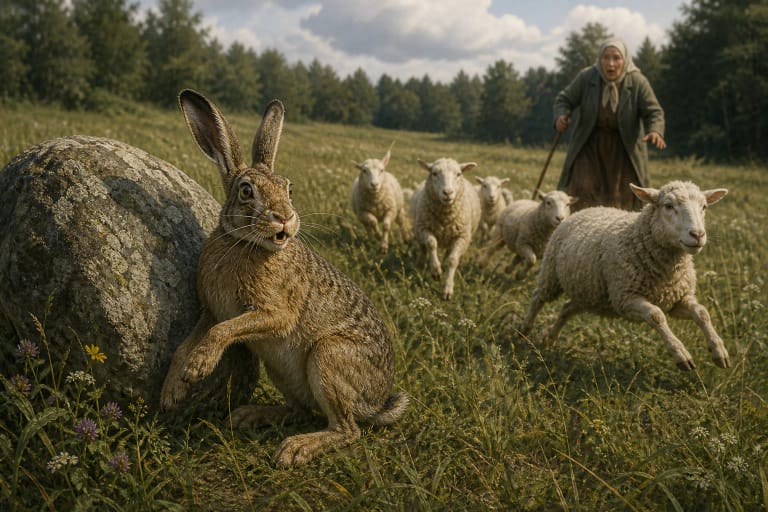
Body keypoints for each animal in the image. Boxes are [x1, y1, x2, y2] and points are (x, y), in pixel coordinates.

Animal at [160, 89, 408, 467]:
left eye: (288, 189)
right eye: (246, 191)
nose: (285, 218)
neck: (243, 243)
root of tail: (376, 402)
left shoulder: (275, 314)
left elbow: (223, 332)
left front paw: (198, 367)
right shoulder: (212, 310)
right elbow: (185, 345)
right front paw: (173, 389)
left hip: (327, 358)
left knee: (347, 429)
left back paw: (294, 449)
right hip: (282, 369)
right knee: (302, 410)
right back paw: (250, 415)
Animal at [410, 157, 481, 300]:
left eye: (458, 174)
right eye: (434, 173)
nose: (448, 193)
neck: (445, 218)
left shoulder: (462, 237)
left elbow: (453, 260)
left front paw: (448, 289)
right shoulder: (424, 228)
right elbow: (431, 244)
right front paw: (436, 271)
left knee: (448, 254)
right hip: (418, 230)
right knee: (423, 248)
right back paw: (421, 264)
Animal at [520, 180, 730, 370]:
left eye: (704, 207)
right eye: (668, 206)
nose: (698, 235)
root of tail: (586, 209)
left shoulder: (677, 299)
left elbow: (702, 313)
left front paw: (719, 351)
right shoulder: (625, 298)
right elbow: (656, 316)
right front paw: (681, 355)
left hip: (588, 293)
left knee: (566, 309)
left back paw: (550, 338)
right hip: (551, 274)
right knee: (538, 298)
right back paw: (525, 329)